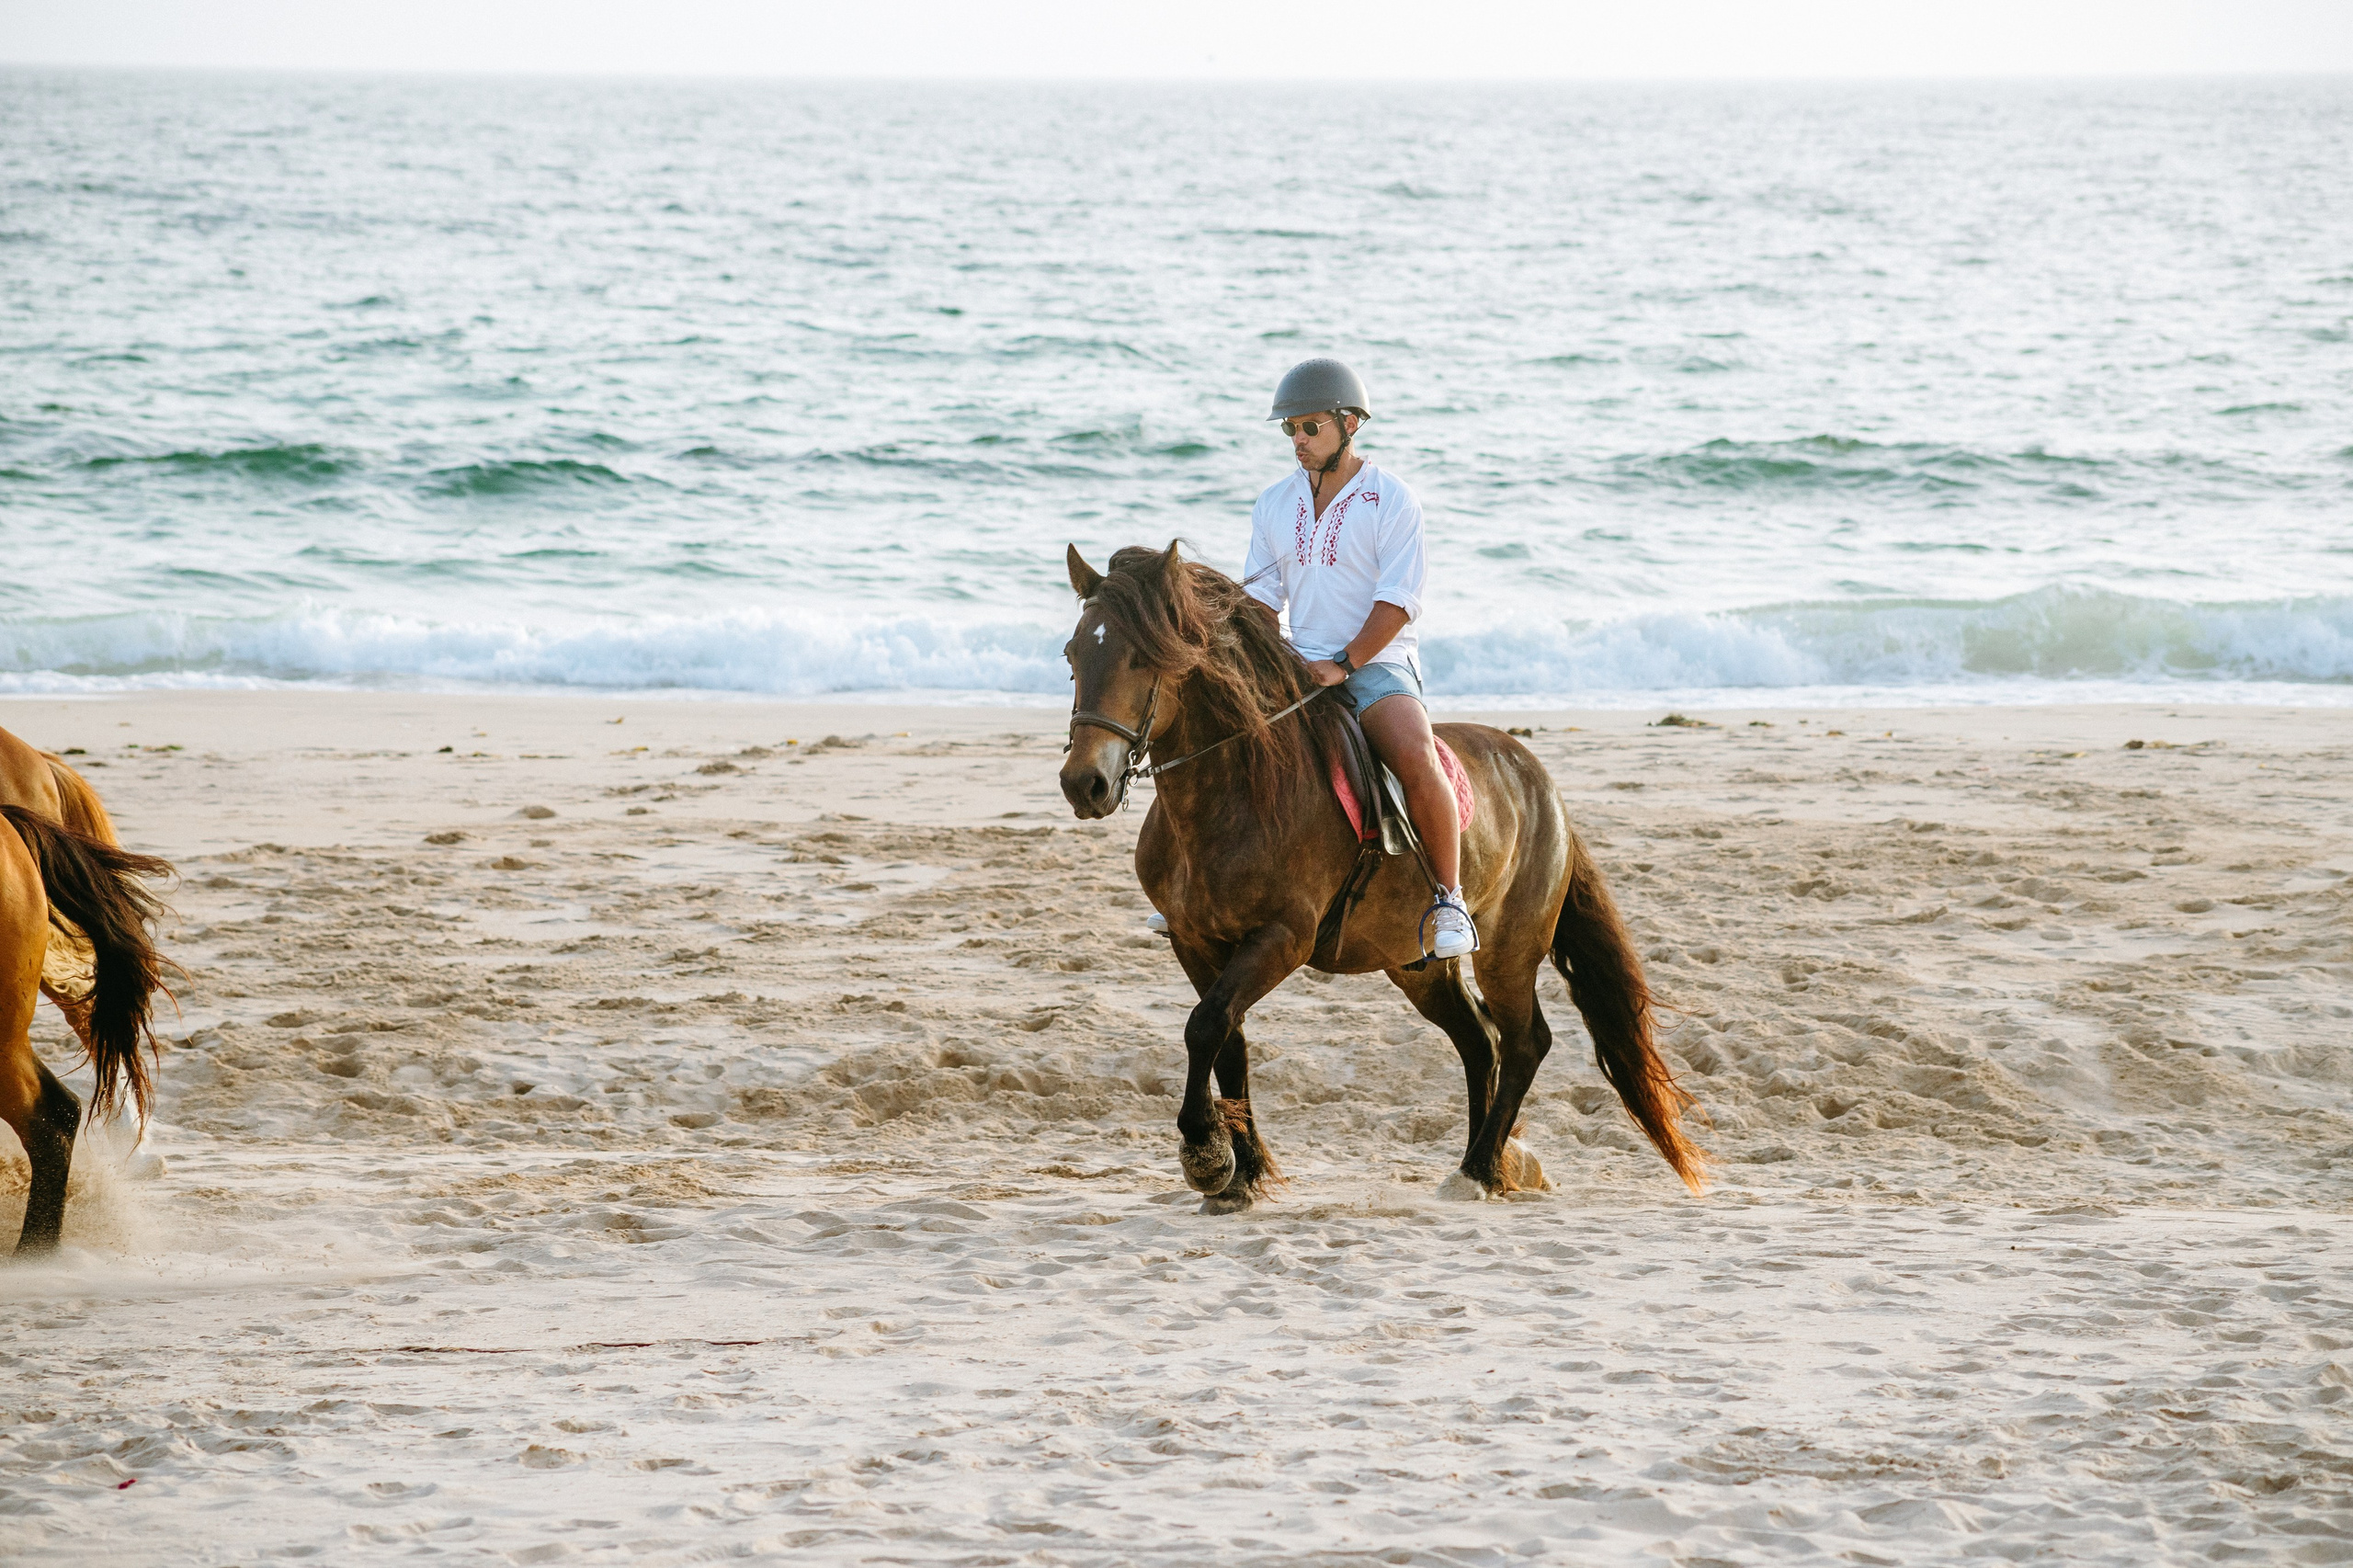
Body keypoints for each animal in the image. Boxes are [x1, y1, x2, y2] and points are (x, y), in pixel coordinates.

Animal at [1057, 542, 1703, 1212]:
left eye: (1143, 657)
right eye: (1073, 654)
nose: (1085, 784)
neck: (1236, 791)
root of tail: (1542, 783)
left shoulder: (1282, 939)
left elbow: (1205, 1025)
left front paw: (1205, 1153)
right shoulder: (1194, 941)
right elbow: (1226, 1037)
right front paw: (1244, 1172)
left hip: (1509, 951)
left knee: (1525, 1042)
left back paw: (1479, 1168)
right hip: (1416, 967)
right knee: (1479, 1040)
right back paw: (1493, 1162)